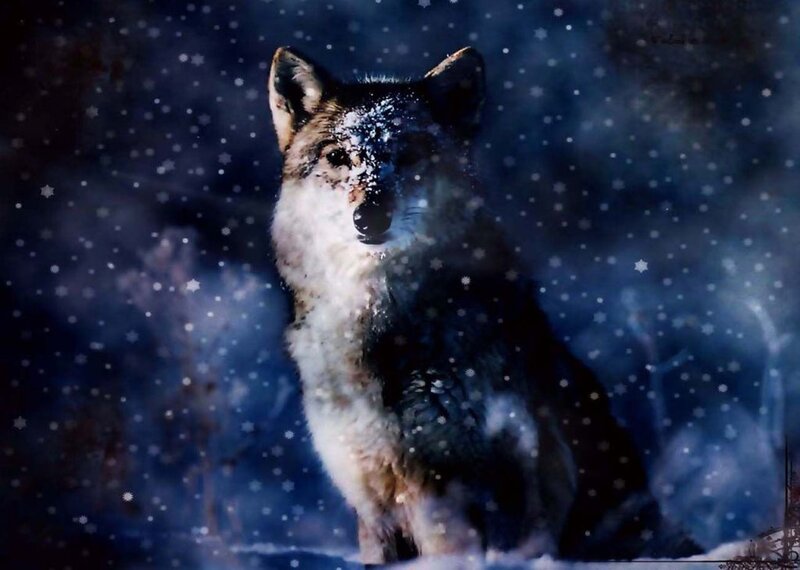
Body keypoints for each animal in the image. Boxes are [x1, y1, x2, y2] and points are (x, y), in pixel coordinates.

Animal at [267, 46, 699, 564]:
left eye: (409, 155)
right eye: (338, 157)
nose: (369, 216)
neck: (385, 330)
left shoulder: (502, 480)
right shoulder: (374, 501)